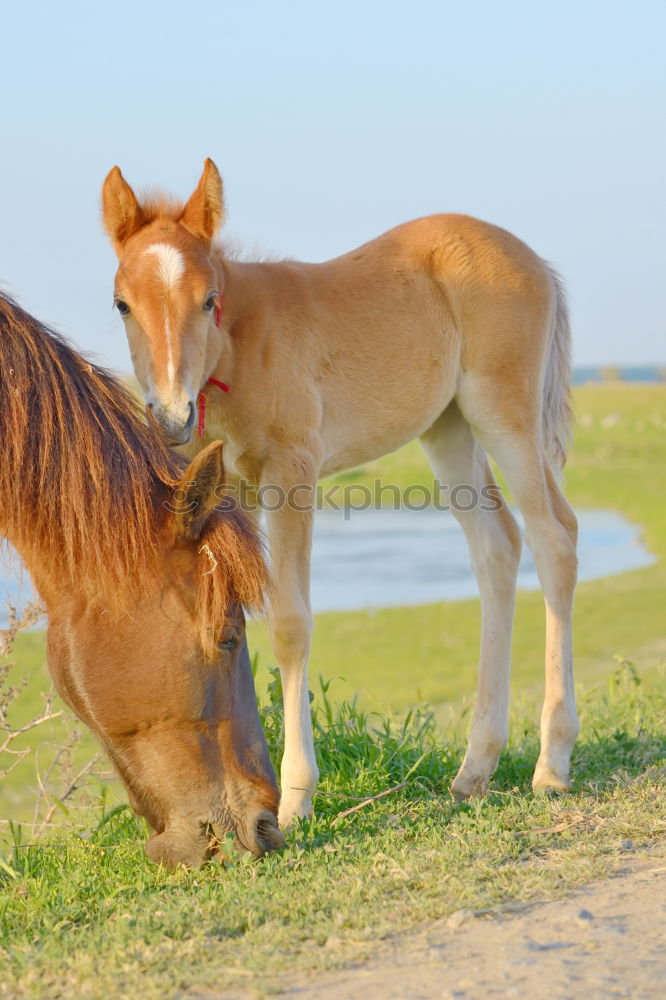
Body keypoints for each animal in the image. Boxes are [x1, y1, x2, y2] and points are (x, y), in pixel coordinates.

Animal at [101, 160, 580, 824]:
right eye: (121, 304)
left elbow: (289, 623)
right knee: (497, 547)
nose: (172, 416)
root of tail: (536, 260)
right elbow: (229, 622)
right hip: (448, 426)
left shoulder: (291, 473)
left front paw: (295, 797)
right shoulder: (232, 490)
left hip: (503, 410)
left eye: (209, 300)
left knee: (554, 538)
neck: (241, 345)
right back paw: (474, 769)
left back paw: (551, 763)